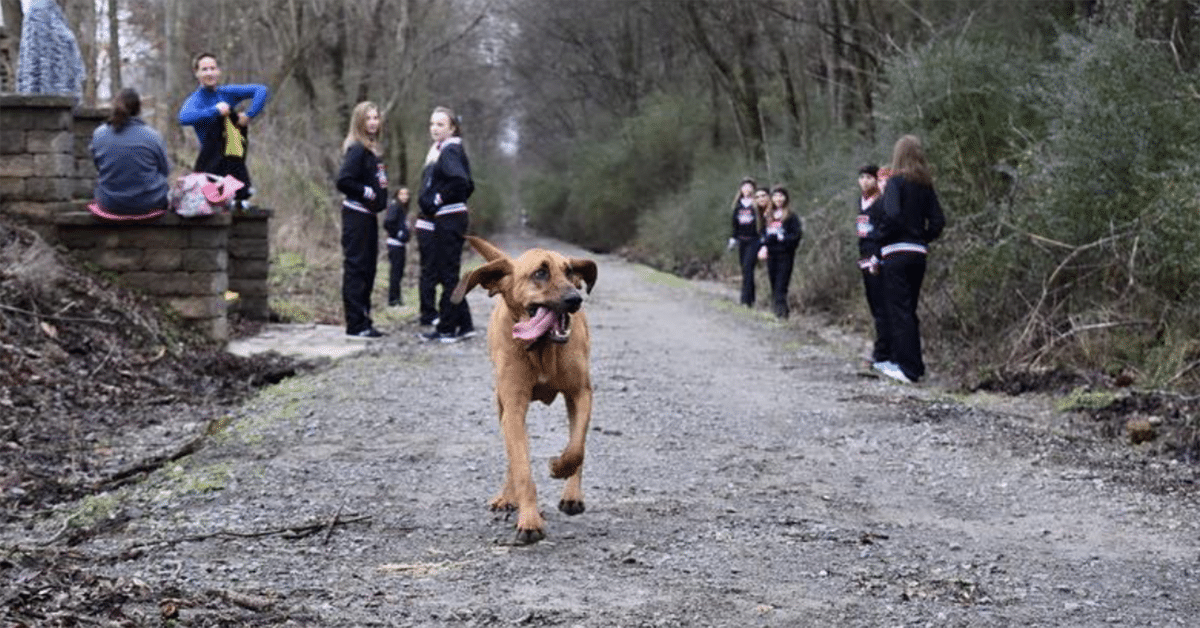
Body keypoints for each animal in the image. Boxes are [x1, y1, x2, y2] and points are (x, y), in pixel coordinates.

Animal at [451, 237, 600, 545]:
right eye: (540, 273)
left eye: (569, 271)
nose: (575, 299)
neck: (541, 348)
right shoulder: (514, 407)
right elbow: (521, 467)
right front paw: (529, 520)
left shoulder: (580, 394)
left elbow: (576, 448)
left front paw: (559, 467)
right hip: (501, 406)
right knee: (512, 455)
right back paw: (508, 498)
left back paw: (572, 496)